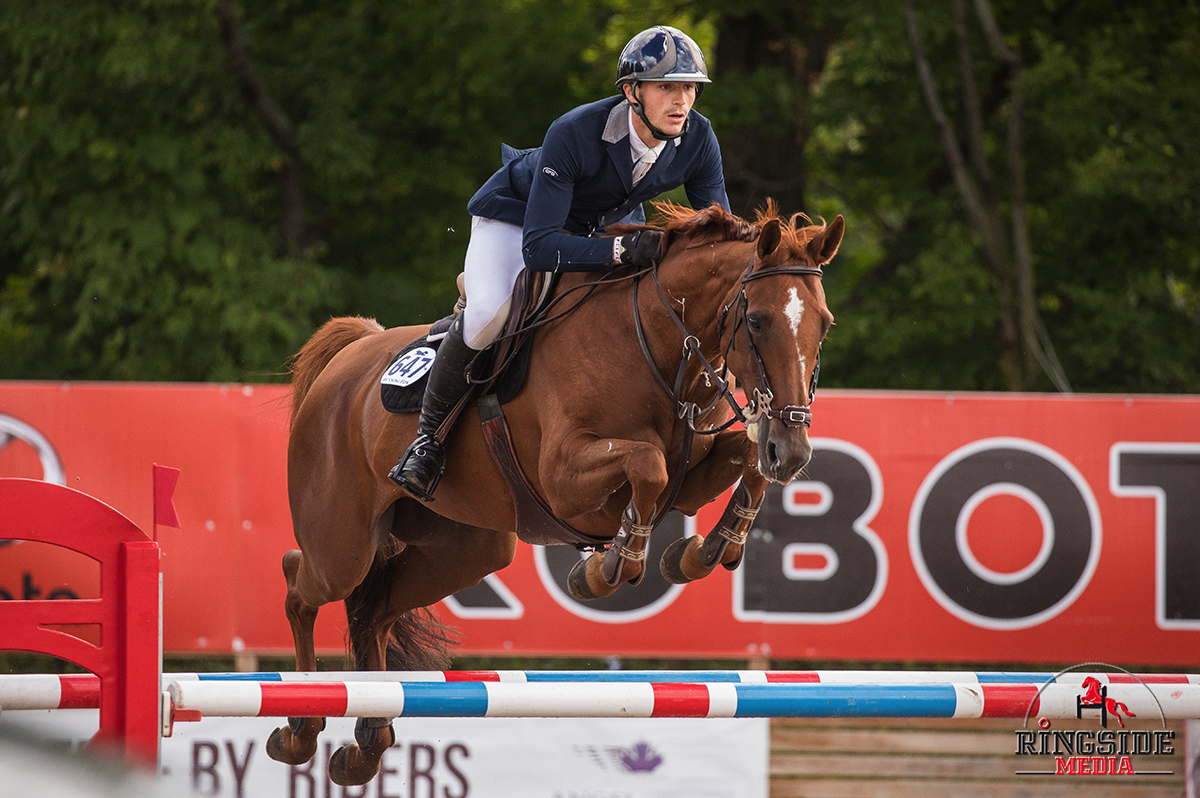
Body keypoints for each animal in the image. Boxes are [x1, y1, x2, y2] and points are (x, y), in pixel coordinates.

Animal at [265, 202, 844, 782]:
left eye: (824, 325)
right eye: (756, 320)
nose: (793, 450)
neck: (658, 347)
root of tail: (352, 352)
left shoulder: (692, 474)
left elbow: (744, 461)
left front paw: (705, 549)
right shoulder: (566, 478)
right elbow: (648, 465)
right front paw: (608, 567)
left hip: (465, 550)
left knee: (375, 610)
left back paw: (365, 745)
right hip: (342, 546)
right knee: (300, 582)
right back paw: (300, 729)